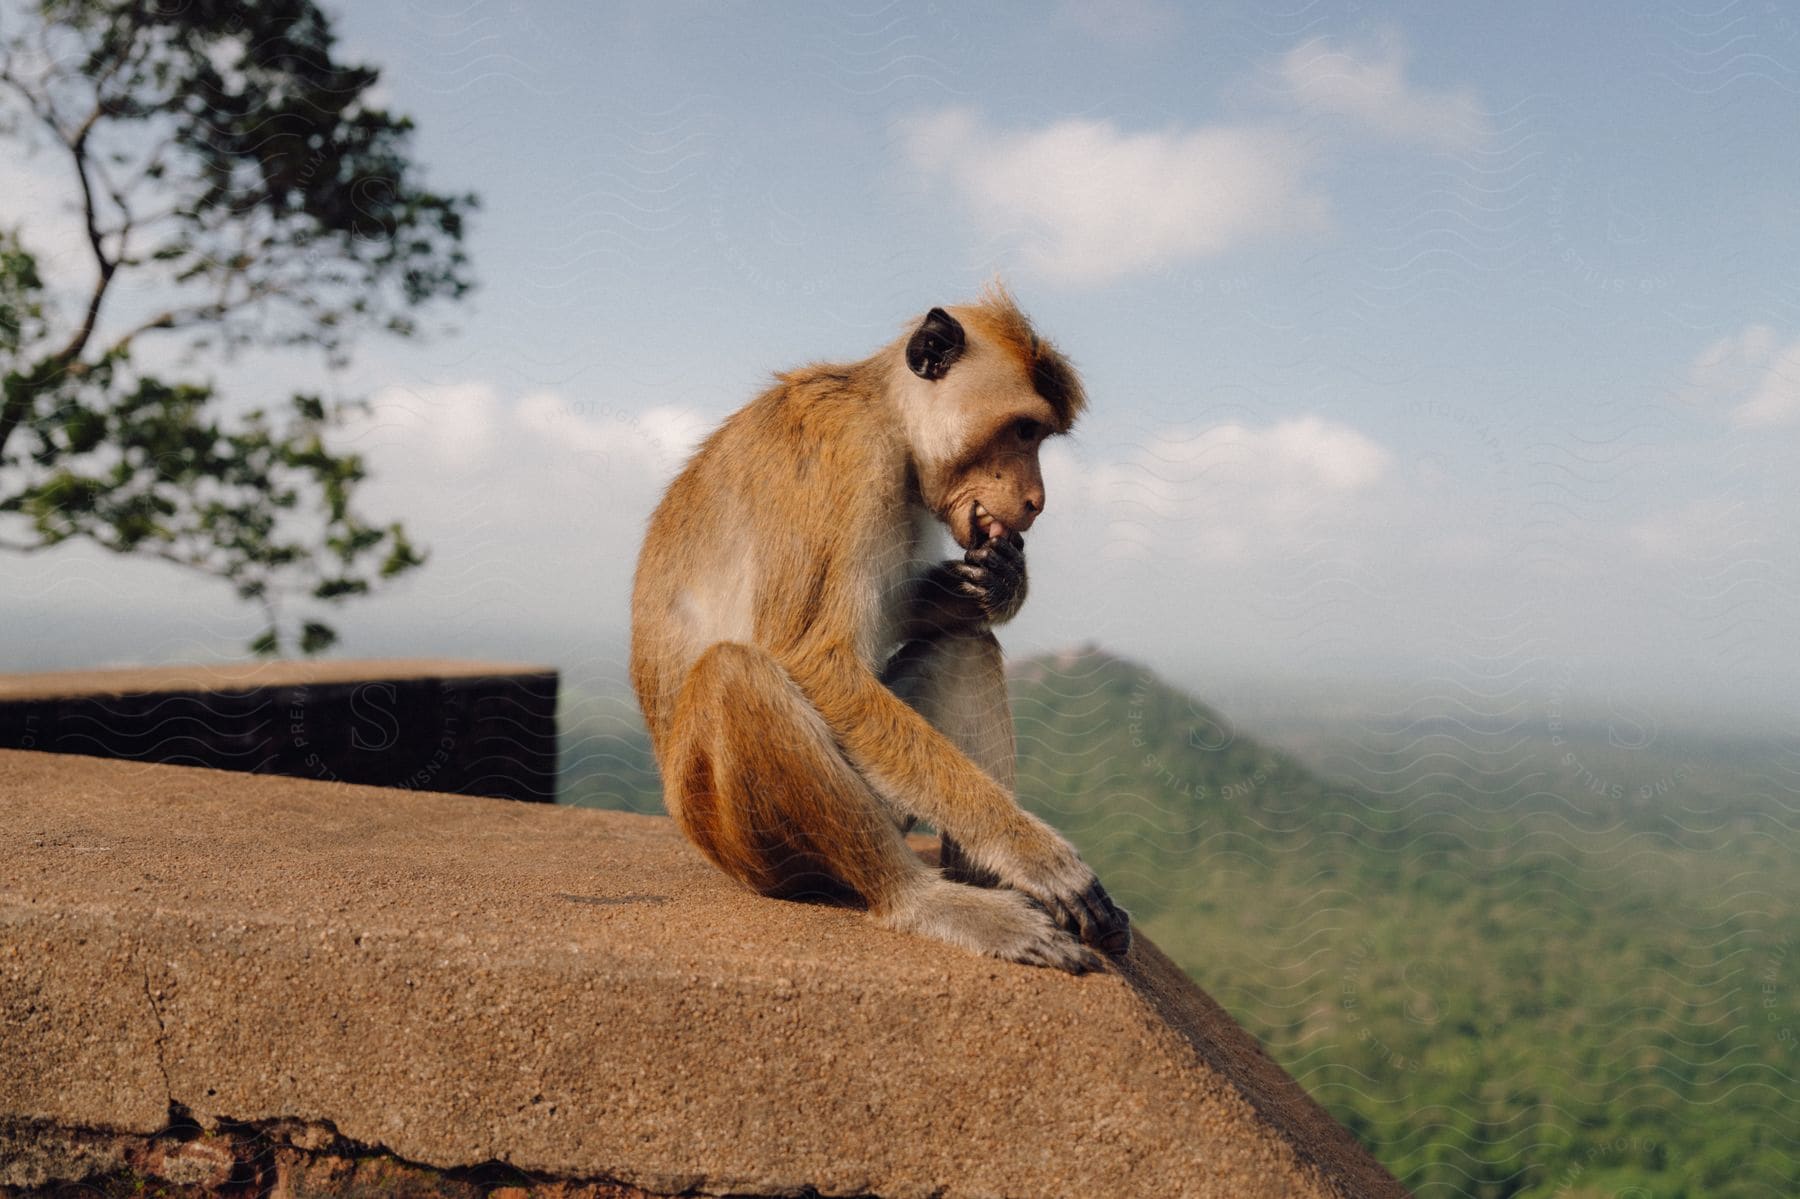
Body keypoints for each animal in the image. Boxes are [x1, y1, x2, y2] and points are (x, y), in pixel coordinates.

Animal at [633, 284, 1130, 964]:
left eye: (1039, 436)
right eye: (1023, 429)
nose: (1036, 502)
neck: (890, 421)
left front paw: (995, 585)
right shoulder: (848, 458)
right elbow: (816, 658)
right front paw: (1035, 856)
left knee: (966, 650)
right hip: (740, 842)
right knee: (737, 675)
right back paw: (925, 898)